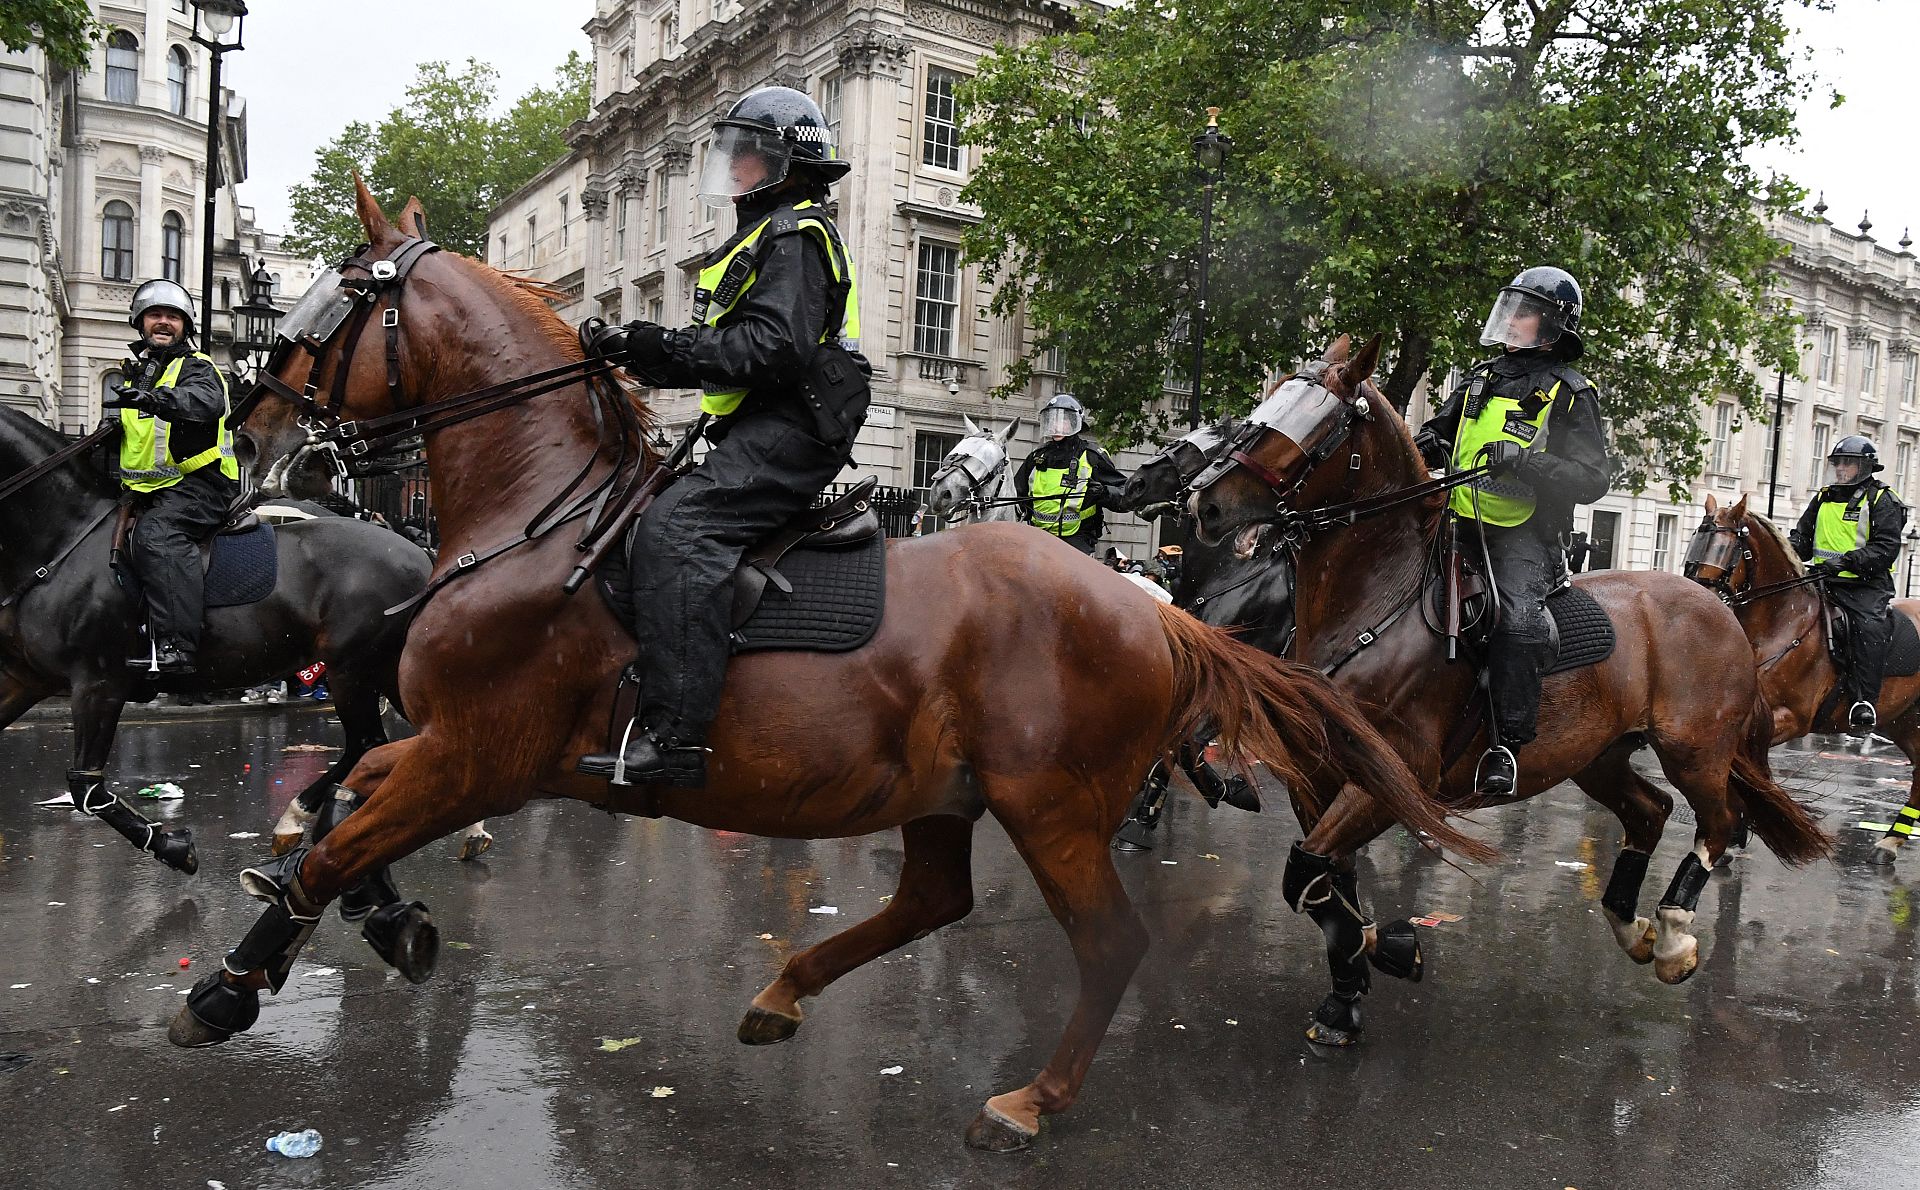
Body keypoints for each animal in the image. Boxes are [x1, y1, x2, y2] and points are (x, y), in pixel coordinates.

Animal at [0, 404, 432, 867]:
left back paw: (296, 819)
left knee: (368, 742)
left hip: (352, 669)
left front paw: (172, 847)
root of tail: (423, 556)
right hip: (382, 670)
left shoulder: (99, 683)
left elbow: (86, 788)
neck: (64, 539)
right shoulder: (26, 678)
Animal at [168, 186, 1482, 1151]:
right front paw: (366, 916)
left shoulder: (479, 755)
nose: (249, 425)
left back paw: (1030, 1098)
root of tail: (1152, 608)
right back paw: (784, 990)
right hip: (948, 792)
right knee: (934, 901)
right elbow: (339, 805)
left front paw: (231, 986)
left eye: (340, 294)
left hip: (1050, 805)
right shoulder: (441, 748)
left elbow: (341, 834)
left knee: (1107, 942)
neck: (543, 519)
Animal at [1182, 332, 1827, 1044]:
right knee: (1650, 811)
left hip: (1695, 750)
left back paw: (1673, 939)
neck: (1376, 602)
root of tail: (1720, 606)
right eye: (1271, 399)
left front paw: (1371, 970)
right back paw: (1630, 925)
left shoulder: (1396, 773)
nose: (1205, 503)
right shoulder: (1317, 776)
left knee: (1720, 821)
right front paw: (1365, 975)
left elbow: (1307, 873)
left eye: (1322, 423)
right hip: (1596, 756)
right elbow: (1328, 889)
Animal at [1681, 495, 1920, 863]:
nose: (1695, 599)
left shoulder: (1792, 718)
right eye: (1697, 539)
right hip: (1903, 722)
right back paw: (1891, 840)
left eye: (1726, 547)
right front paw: (1738, 832)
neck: (1782, 625)